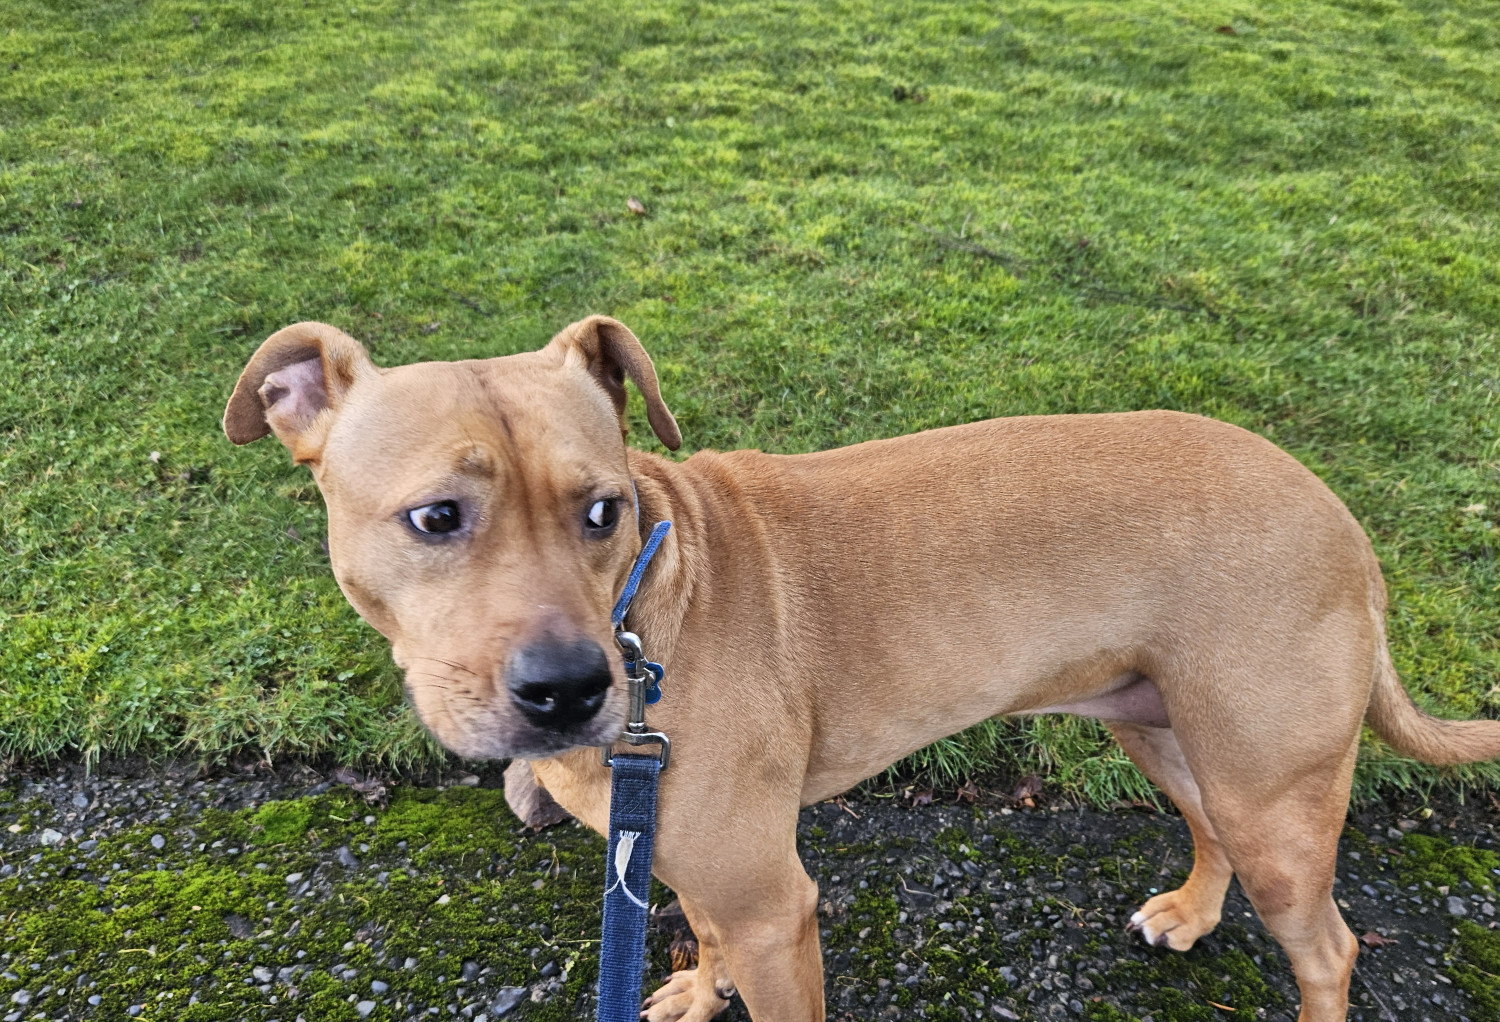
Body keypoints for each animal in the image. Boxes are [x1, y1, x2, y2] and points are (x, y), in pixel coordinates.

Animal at [222, 315, 1500, 1014]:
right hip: (1166, 728)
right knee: (1210, 829)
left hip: (1271, 783)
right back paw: (1189, 910)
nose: (570, 690)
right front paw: (696, 987)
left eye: (602, 508)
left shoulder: (775, 903)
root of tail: (1340, 514)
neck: (651, 608)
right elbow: (704, 930)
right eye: (436, 517)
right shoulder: (701, 863)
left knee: (1328, 943)